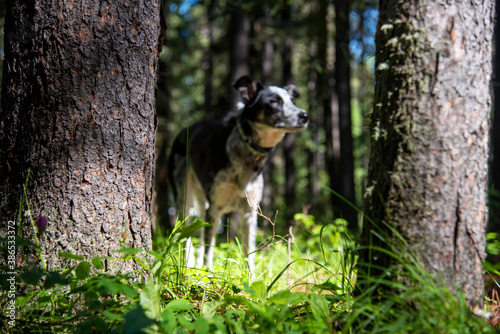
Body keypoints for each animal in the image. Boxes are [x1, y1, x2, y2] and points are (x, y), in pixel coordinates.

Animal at [168, 75, 308, 272]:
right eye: (274, 101)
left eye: (293, 101)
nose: (305, 115)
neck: (247, 149)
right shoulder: (215, 209)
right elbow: (209, 253)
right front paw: (208, 275)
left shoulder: (250, 211)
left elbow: (249, 254)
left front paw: (251, 277)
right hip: (184, 199)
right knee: (186, 237)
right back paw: (188, 265)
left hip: (202, 204)